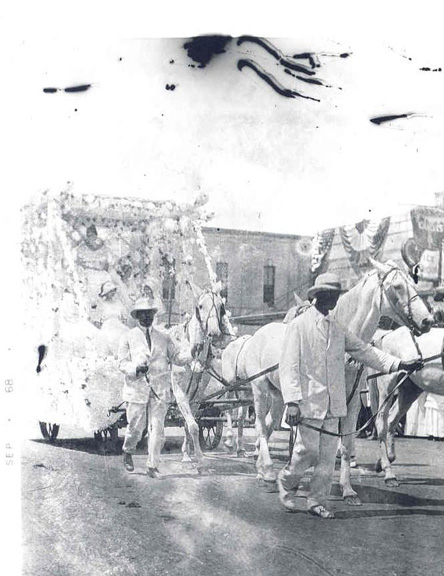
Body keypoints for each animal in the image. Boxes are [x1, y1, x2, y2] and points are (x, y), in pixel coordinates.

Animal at [369, 326, 444, 486]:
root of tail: (385, 335)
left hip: (410, 389)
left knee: (392, 420)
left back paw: (383, 462)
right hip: (387, 388)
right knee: (382, 422)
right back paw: (388, 473)